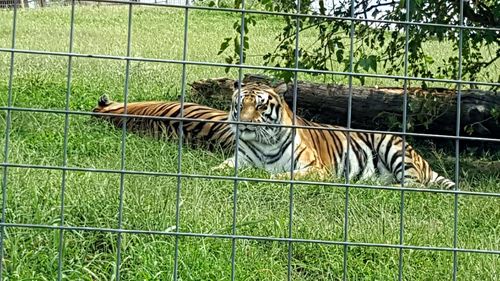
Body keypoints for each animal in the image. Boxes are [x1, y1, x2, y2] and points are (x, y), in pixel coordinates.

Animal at [215, 81, 458, 188]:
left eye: (260, 106)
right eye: (240, 105)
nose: (243, 123)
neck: (262, 143)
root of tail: (423, 162)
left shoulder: (315, 168)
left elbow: (283, 175)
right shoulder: (240, 159)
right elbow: (221, 168)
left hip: (393, 147)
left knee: (414, 184)